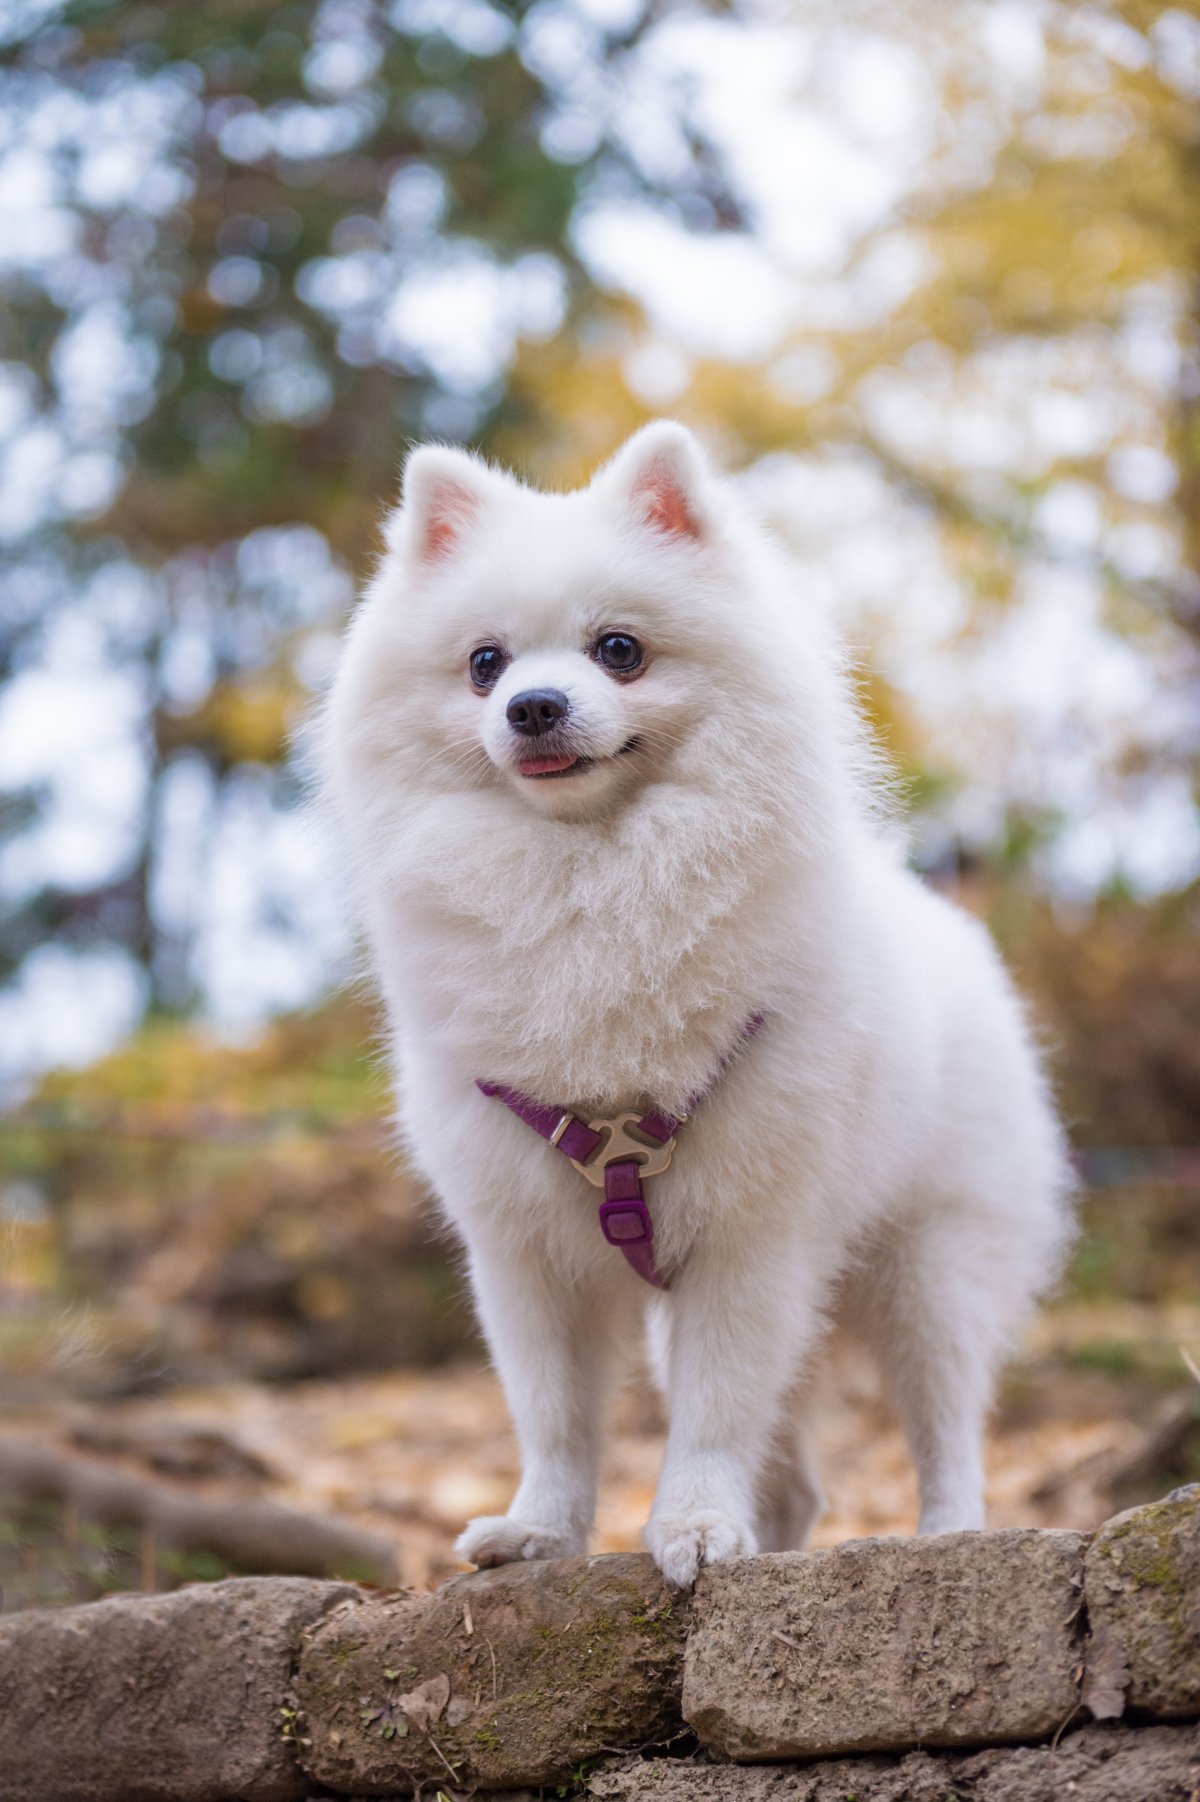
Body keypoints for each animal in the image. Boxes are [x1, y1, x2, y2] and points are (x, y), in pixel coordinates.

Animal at [315, 425, 1066, 1592]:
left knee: (945, 1417)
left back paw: (949, 1532)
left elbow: (714, 1416)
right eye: (485, 663)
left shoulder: (751, 1234)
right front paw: (541, 1531)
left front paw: (696, 1523)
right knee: (799, 1477)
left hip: (930, 1265)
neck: (587, 878)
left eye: (619, 649)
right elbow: (555, 1417)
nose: (532, 705)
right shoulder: (523, 1248)